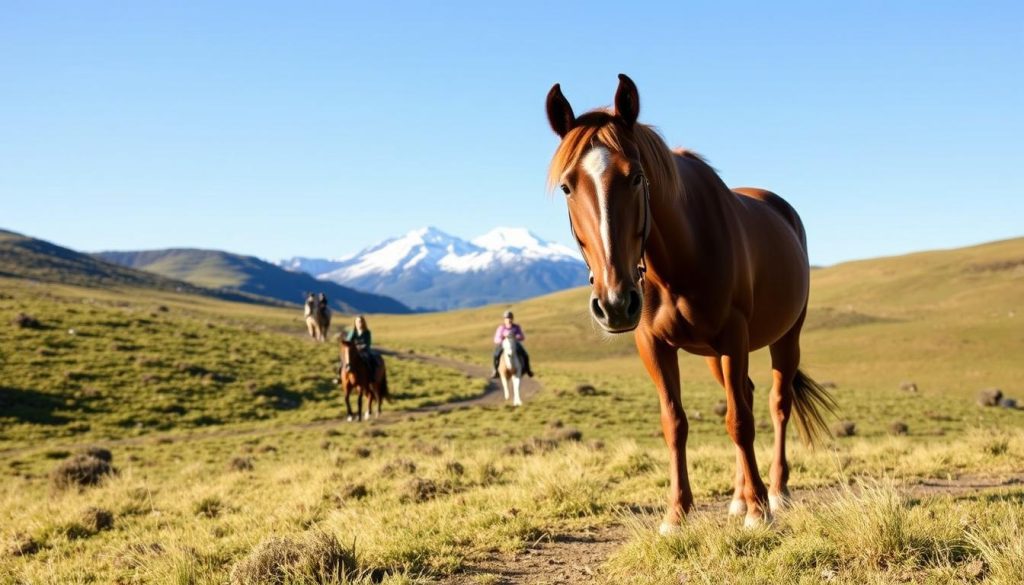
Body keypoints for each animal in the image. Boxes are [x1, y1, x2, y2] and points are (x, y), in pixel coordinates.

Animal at [545, 74, 837, 533]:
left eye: (635, 177)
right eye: (567, 186)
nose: (615, 303)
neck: (679, 259)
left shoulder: (734, 338)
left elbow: (740, 422)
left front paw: (759, 510)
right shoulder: (654, 345)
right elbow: (675, 422)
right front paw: (677, 512)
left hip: (786, 337)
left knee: (777, 405)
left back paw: (775, 491)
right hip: (713, 355)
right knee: (747, 394)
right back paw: (738, 496)